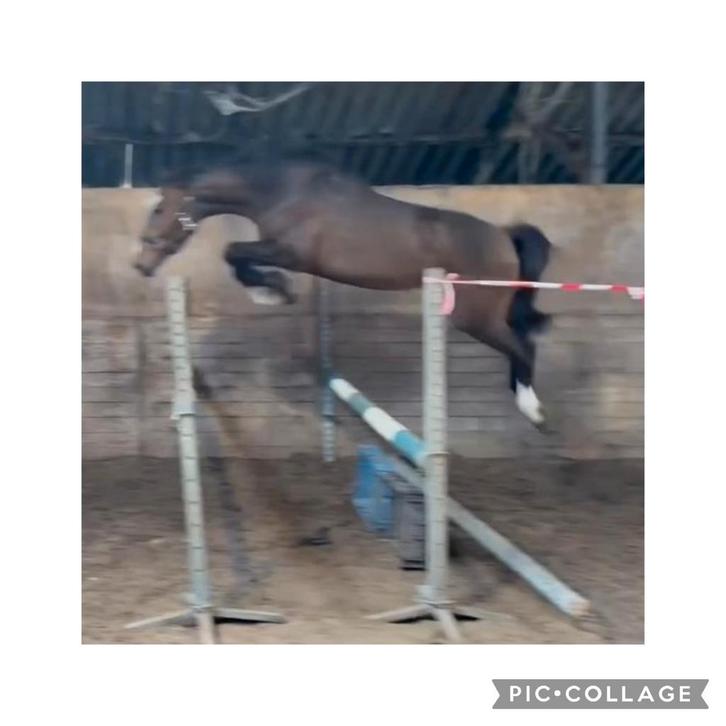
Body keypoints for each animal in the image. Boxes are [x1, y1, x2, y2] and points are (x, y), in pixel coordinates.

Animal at [134, 160, 553, 426]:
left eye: (158, 209)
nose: (141, 264)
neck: (282, 193)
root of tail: (504, 237)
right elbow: (235, 254)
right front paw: (271, 291)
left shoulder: (291, 254)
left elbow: (233, 251)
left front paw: (274, 291)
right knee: (522, 339)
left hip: (474, 316)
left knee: (523, 346)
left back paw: (532, 410)